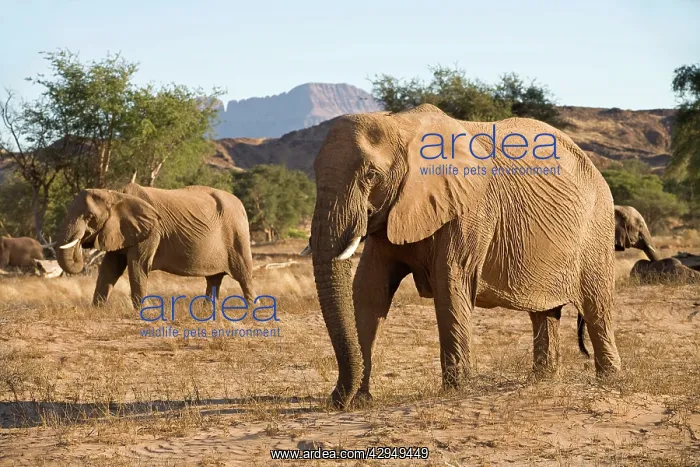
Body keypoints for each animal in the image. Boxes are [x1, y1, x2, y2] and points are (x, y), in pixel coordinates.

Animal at [56, 183, 255, 308]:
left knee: (244, 275)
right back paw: (206, 311)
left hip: (237, 234)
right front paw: (96, 309)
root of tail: (241, 204)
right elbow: (110, 268)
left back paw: (253, 311)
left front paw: (144, 310)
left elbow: (137, 265)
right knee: (214, 279)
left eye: (90, 217)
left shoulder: (151, 231)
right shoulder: (120, 231)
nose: (82, 244)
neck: (116, 194)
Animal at [301, 104, 621, 409]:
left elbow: (451, 281)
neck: (402, 125)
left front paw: (457, 390)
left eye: (371, 175)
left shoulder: (469, 208)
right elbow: (370, 289)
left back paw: (610, 380)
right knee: (544, 312)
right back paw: (543, 380)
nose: (335, 401)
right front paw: (359, 400)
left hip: (597, 228)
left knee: (596, 306)